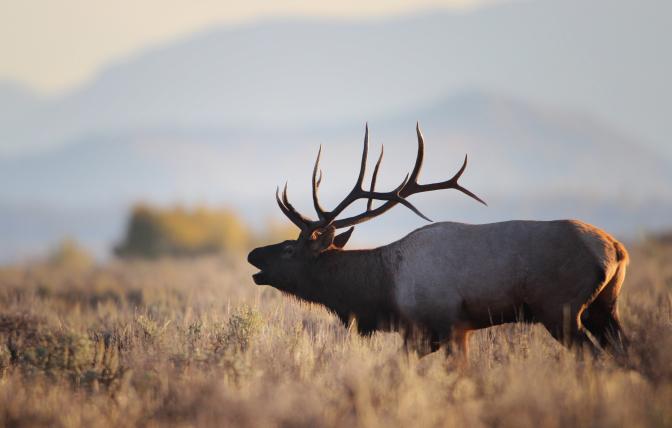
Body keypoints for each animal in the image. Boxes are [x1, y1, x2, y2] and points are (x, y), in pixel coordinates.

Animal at [247, 124, 629, 357]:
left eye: (289, 248)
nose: (253, 254)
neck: (381, 289)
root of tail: (616, 250)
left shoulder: (441, 325)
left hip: (560, 309)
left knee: (594, 357)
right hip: (603, 308)